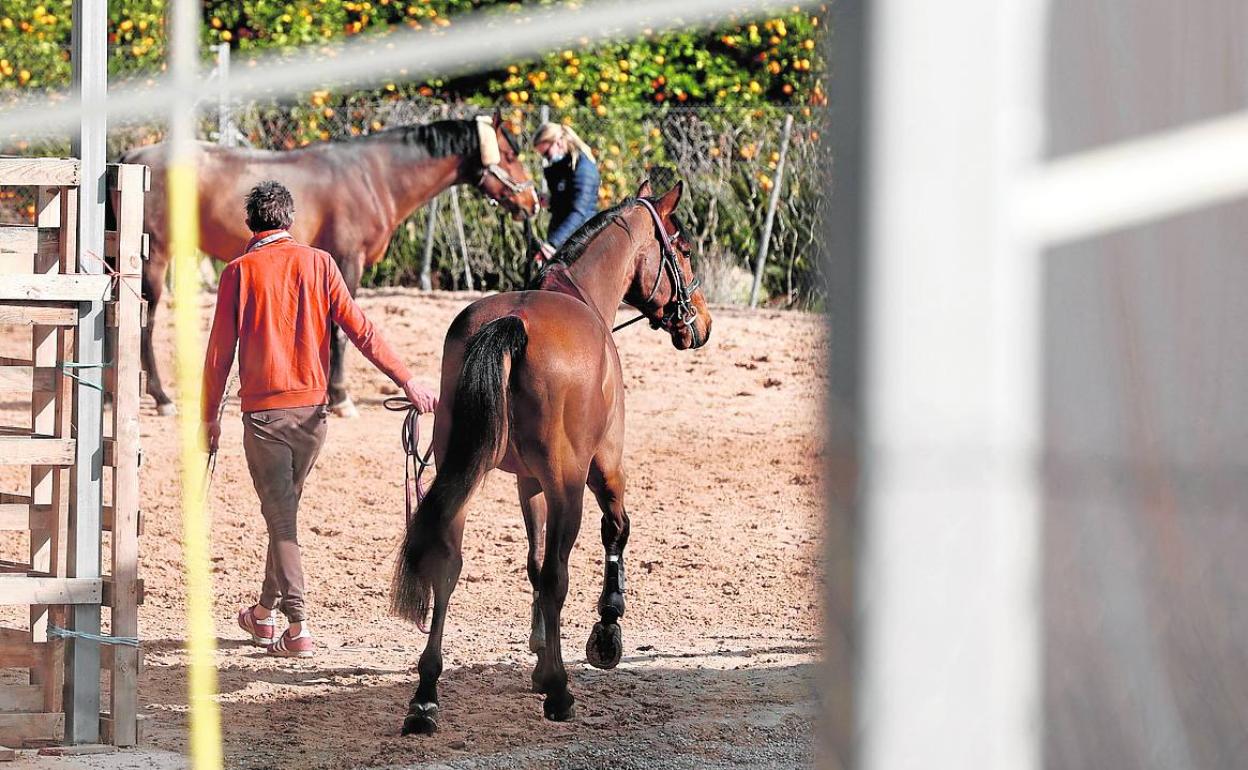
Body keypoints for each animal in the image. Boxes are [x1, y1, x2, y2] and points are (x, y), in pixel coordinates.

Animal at [117, 109, 541, 414]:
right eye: (510, 154)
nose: (532, 202)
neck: (375, 176)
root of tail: (133, 156)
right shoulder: (347, 262)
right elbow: (341, 332)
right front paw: (340, 398)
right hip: (156, 257)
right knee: (144, 320)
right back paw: (160, 398)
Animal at [389, 177, 713, 728]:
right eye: (685, 248)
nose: (702, 323)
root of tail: (514, 323)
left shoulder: (529, 483)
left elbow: (533, 562)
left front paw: (541, 649)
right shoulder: (604, 468)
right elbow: (614, 532)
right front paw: (605, 632)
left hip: (462, 470)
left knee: (448, 563)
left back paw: (426, 694)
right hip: (569, 485)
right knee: (559, 572)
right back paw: (560, 691)